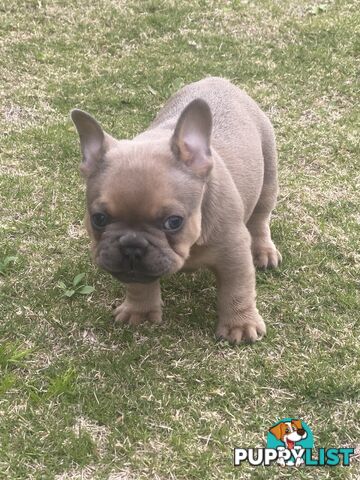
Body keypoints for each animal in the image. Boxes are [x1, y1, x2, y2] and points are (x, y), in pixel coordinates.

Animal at [71, 77, 282, 344]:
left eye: (174, 221)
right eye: (98, 219)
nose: (131, 246)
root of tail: (218, 80)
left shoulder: (234, 253)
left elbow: (237, 290)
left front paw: (240, 326)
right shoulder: (137, 272)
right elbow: (139, 284)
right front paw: (139, 310)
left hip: (268, 175)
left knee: (260, 218)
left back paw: (264, 251)